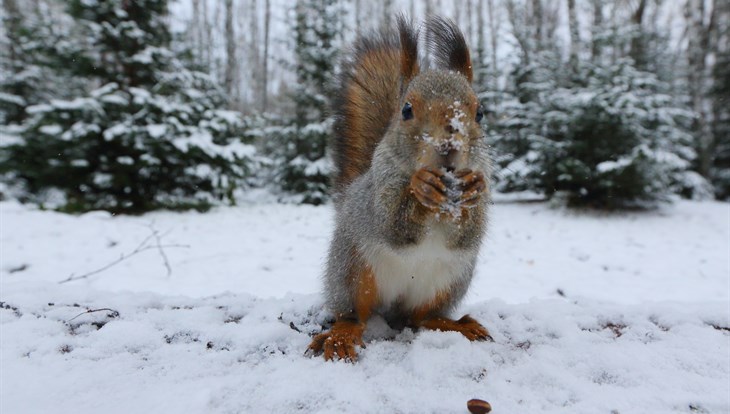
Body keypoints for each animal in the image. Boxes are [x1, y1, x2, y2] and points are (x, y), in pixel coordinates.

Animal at [308, 14, 490, 360]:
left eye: (480, 112)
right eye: (406, 110)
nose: (448, 147)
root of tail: (395, 303)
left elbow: (469, 233)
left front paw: (473, 188)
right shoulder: (378, 191)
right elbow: (392, 225)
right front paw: (420, 187)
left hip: (447, 283)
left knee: (420, 318)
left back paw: (454, 324)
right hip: (352, 270)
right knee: (353, 314)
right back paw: (341, 334)